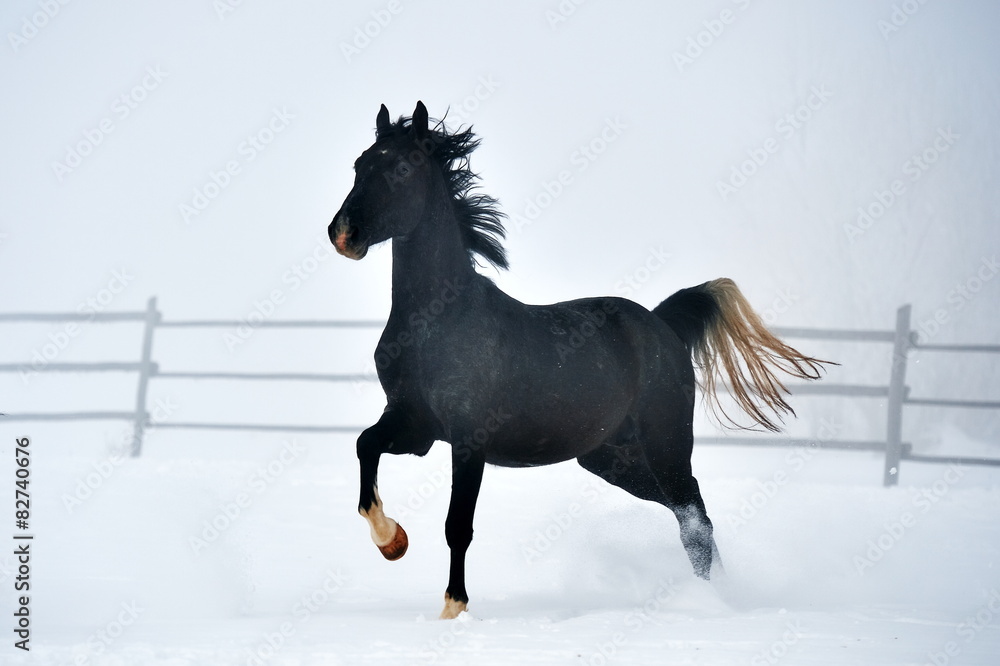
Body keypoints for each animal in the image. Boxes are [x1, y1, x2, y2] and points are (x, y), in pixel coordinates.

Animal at [326, 100, 828, 616]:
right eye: (359, 164)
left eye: (402, 168)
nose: (343, 234)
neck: (435, 322)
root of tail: (660, 323)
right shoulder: (415, 425)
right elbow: (365, 446)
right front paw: (392, 542)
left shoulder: (468, 440)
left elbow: (457, 526)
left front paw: (453, 608)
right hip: (610, 458)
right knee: (689, 514)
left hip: (665, 444)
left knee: (693, 514)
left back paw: (717, 601)